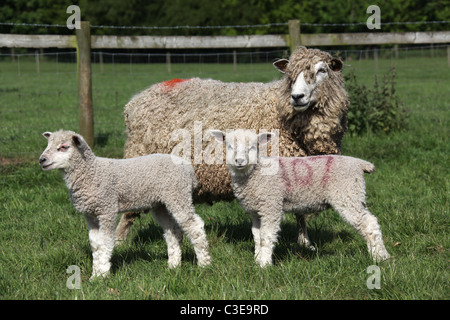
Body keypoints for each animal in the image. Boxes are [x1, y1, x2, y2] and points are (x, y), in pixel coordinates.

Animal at [38, 129, 211, 278]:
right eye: (48, 145)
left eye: (64, 147)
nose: (42, 160)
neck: (91, 172)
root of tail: (189, 169)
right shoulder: (90, 214)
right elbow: (95, 244)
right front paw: (94, 274)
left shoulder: (107, 208)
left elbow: (105, 242)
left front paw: (102, 275)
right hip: (161, 204)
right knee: (172, 231)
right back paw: (173, 265)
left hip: (178, 194)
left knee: (195, 226)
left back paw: (204, 264)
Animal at [118, 45, 350, 245]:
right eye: (290, 74)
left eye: (322, 70)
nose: (297, 97)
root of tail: (134, 103)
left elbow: (301, 214)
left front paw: (305, 243)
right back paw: (120, 241)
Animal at [211, 129, 390, 266]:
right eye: (229, 146)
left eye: (252, 147)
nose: (239, 161)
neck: (255, 173)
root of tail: (360, 164)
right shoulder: (255, 210)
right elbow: (257, 236)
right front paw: (257, 259)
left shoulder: (271, 205)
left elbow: (266, 236)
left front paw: (264, 264)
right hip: (353, 194)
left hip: (347, 194)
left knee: (369, 223)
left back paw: (380, 257)